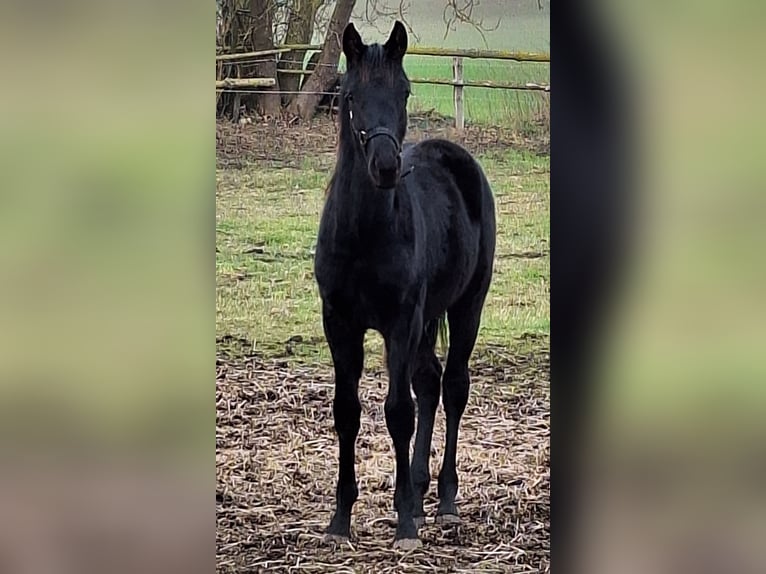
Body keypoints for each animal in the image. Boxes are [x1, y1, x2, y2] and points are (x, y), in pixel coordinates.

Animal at [314, 21, 498, 552]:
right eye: (350, 96)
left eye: (405, 92)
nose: (385, 167)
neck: (364, 235)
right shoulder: (340, 323)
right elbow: (347, 411)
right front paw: (340, 520)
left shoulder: (400, 322)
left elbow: (398, 411)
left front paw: (404, 525)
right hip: (426, 318)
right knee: (430, 382)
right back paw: (417, 492)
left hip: (466, 306)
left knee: (452, 387)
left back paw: (443, 502)